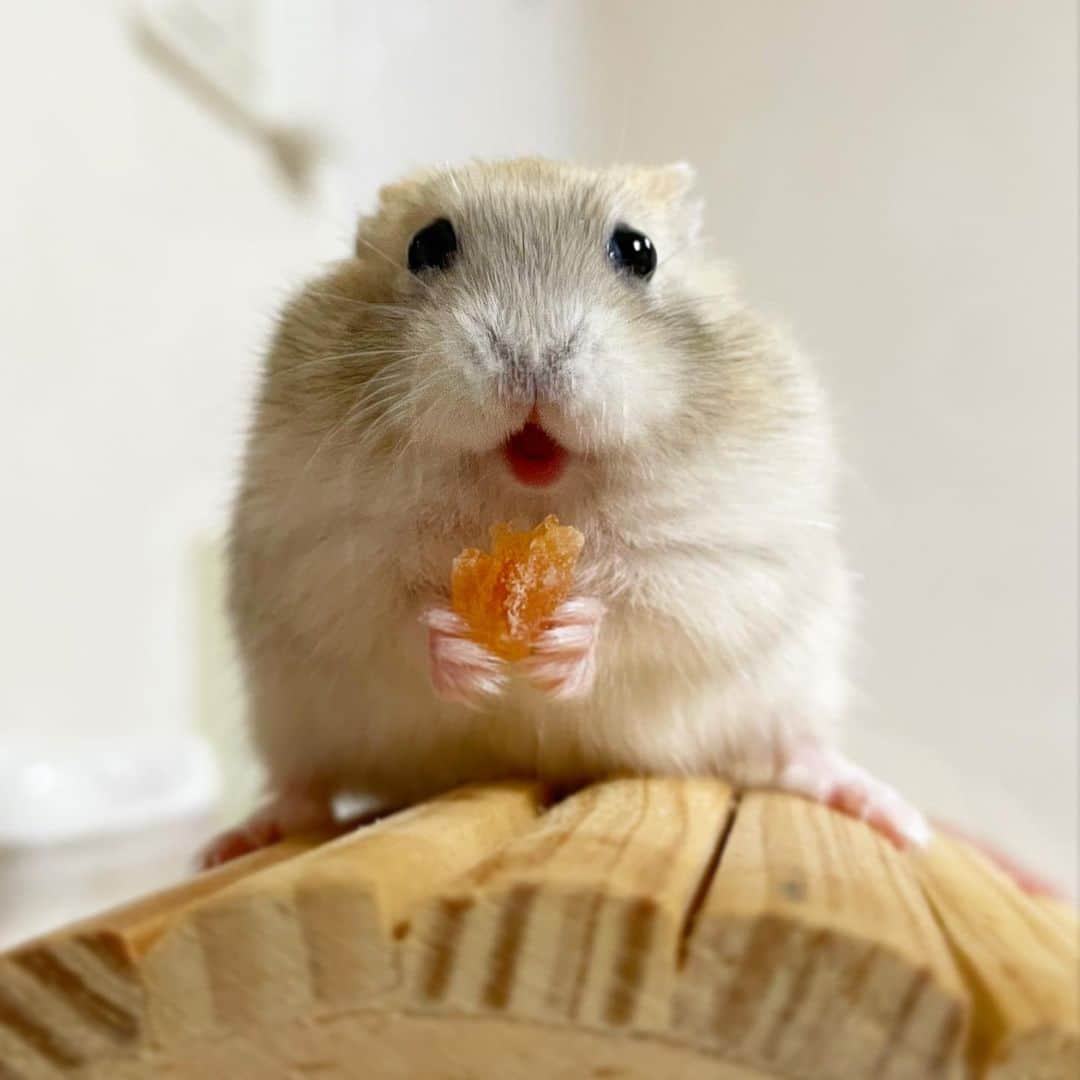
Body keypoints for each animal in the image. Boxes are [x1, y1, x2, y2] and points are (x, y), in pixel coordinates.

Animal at [202, 158, 928, 867]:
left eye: (638, 251)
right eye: (426, 245)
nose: (530, 356)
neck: (528, 495)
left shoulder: (725, 554)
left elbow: (646, 605)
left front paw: (565, 638)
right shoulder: (321, 550)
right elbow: (391, 611)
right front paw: (464, 650)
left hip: (791, 685)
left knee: (793, 753)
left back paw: (893, 817)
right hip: (288, 714)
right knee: (304, 787)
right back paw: (236, 840)